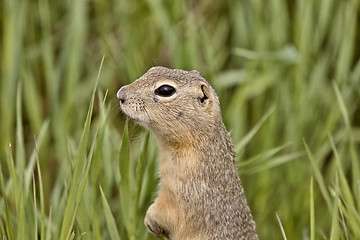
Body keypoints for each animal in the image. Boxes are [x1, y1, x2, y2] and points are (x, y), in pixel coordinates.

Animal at [116, 66, 258, 239]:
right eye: (153, 69)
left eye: (165, 90)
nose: (120, 94)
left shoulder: (181, 187)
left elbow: (168, 212)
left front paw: (149, 218)